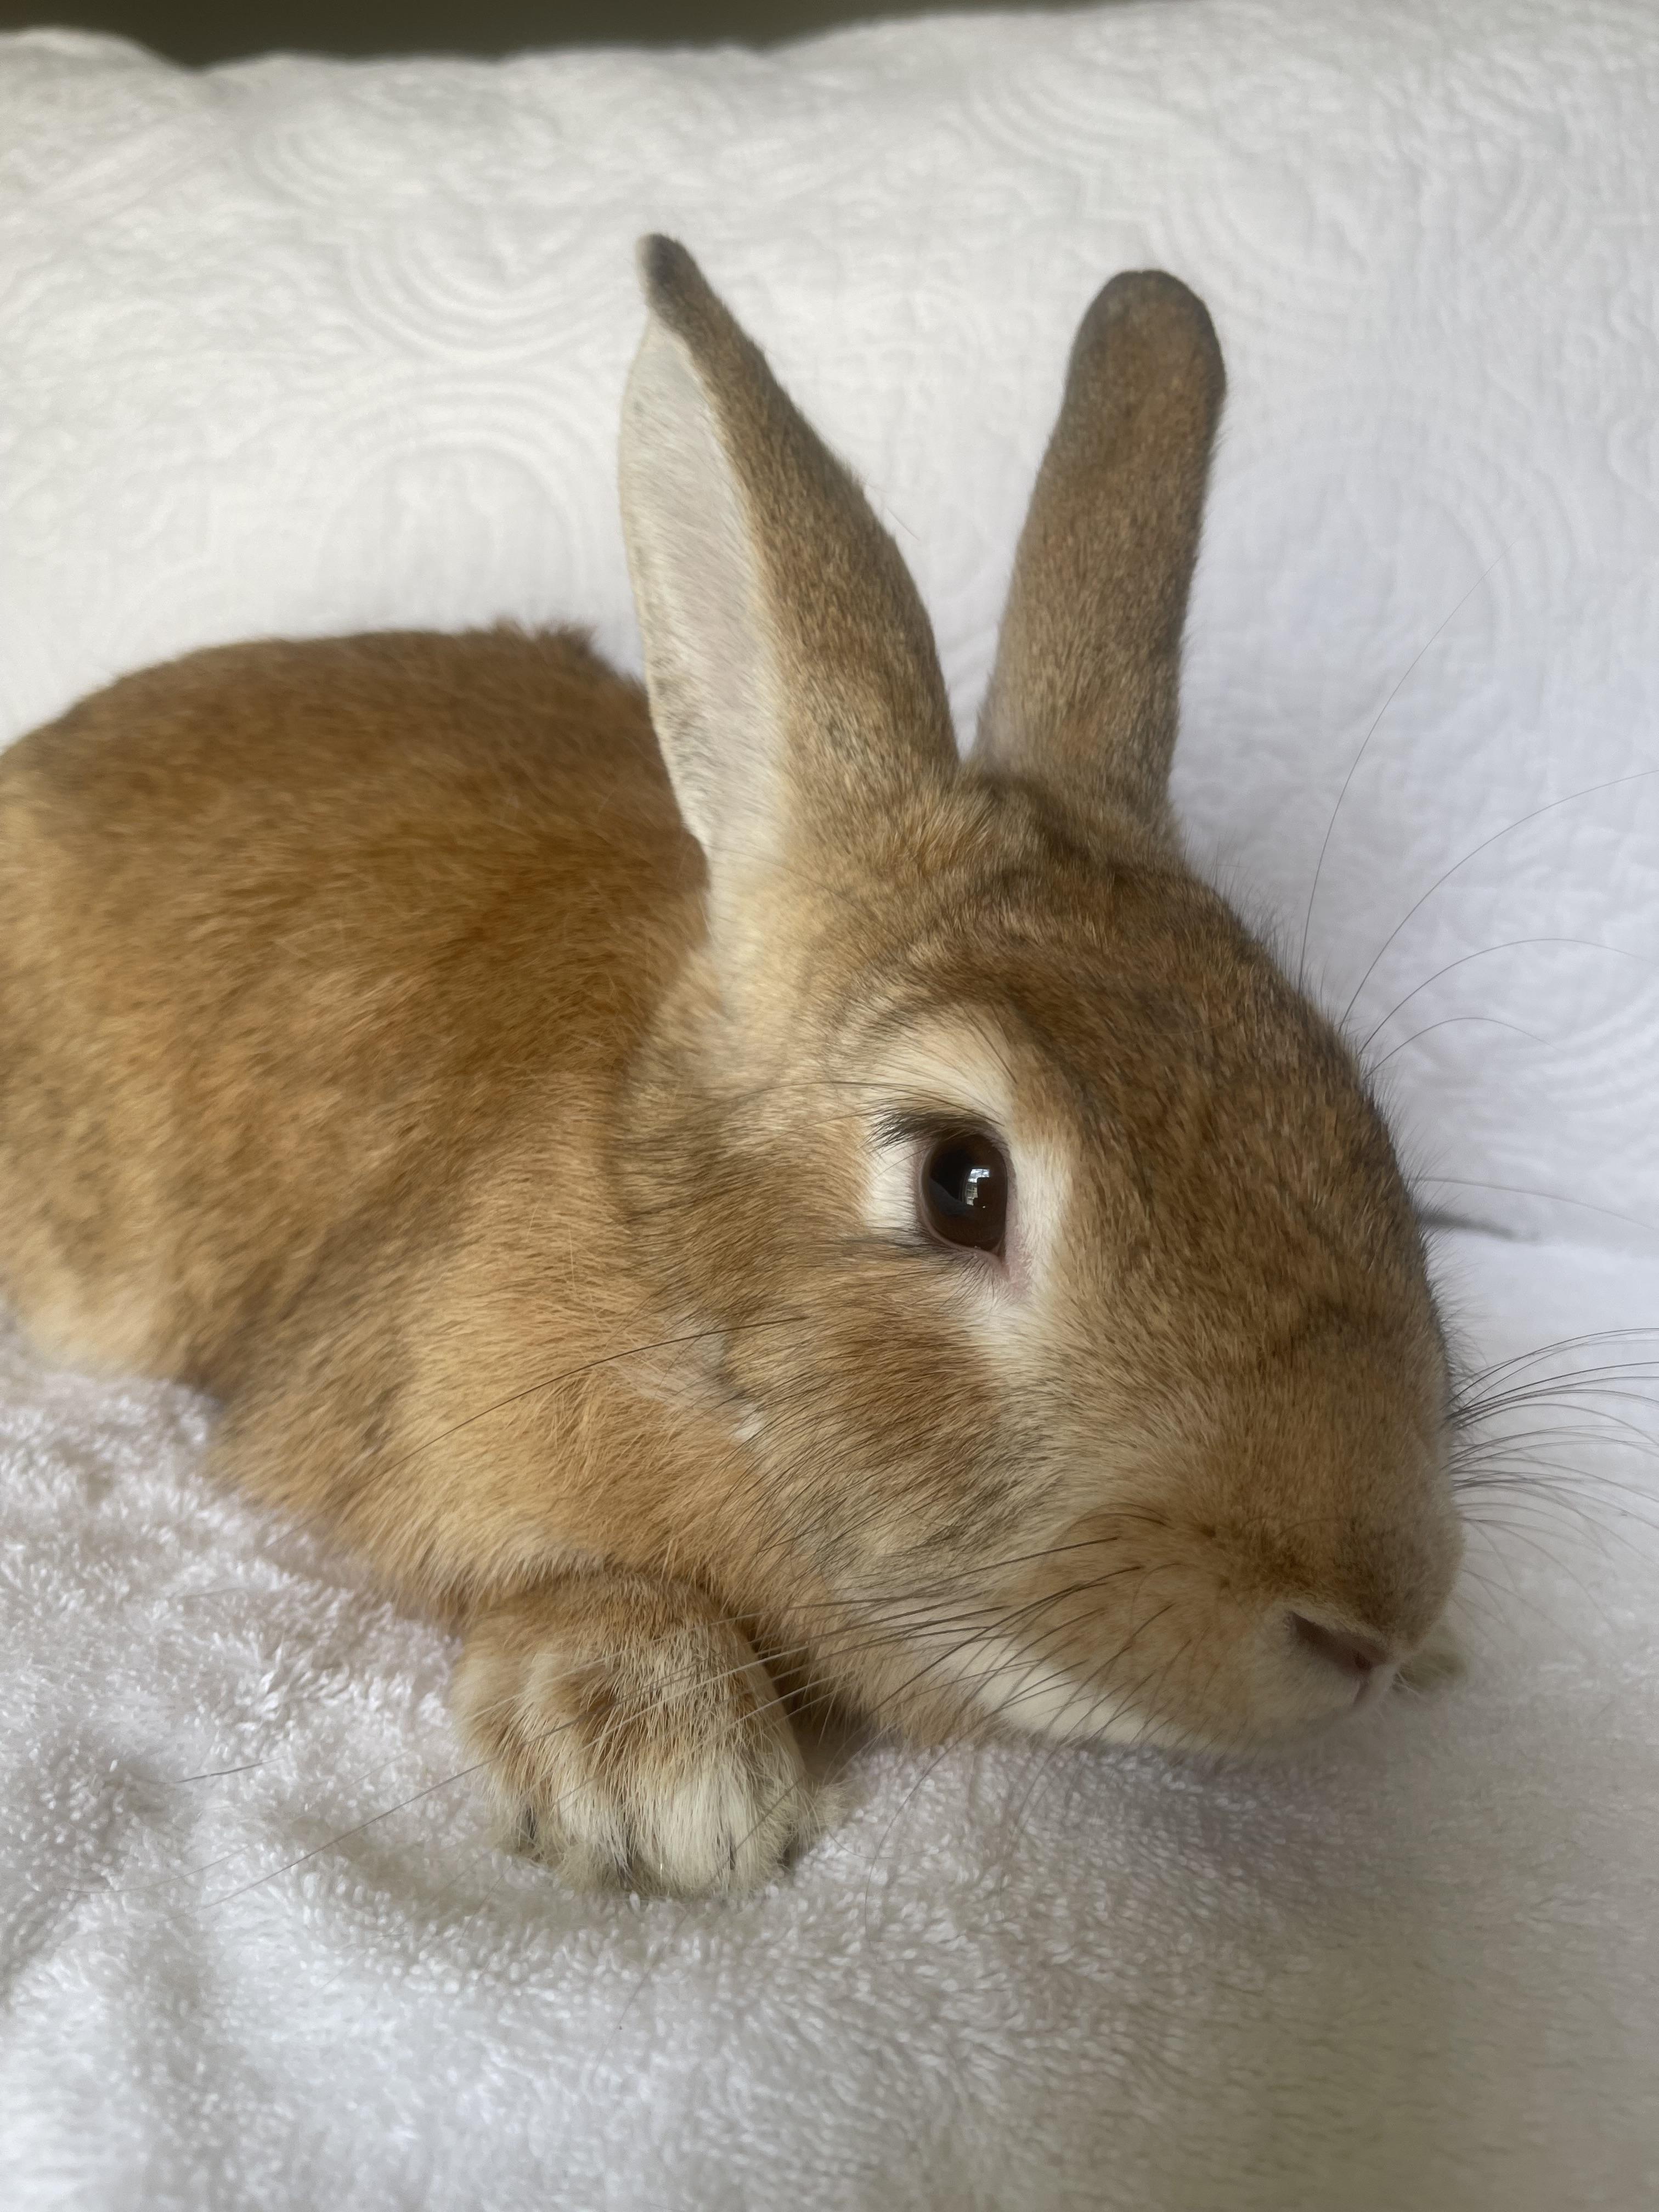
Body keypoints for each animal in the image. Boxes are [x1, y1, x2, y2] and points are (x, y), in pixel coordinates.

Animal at [0, 237, 1463, 1898]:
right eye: (962, 1183)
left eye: (1337, 1093)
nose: (1372, 1615)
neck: (670, 1265)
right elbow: (541, 1574)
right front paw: (661, 1774)